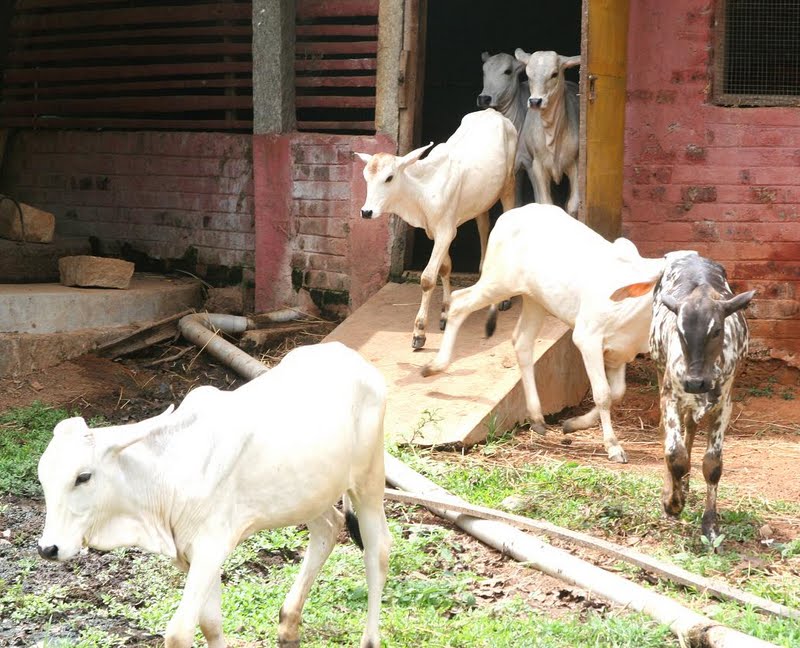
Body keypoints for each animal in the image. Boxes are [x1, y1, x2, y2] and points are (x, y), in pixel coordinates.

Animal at [36, 340, 392, 648]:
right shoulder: (189, 554)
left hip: (368, 480)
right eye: (44, 480)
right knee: (328, 529)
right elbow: (210, 624)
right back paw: (288, 626)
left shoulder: (212, 546)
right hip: (310, 494)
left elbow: (179, 632)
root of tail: (349, 356)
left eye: (82, 477)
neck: (166, 474)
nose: (47, 548)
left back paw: (369, 639)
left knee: (378, 550)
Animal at [356, 109, 520, 350]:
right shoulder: (434, 231)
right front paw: (444, 312)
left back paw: (504, 299)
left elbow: (427, 279)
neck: (422, 191)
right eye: (366, 177)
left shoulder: (445, 232)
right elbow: (444, 268)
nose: (366, 211)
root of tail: (492, 111)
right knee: (483, 225)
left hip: (508, 185)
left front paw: (419, 333)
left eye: (389, 177)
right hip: (481, 199)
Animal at [422, 205, 664, 464]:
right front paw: (613, 446)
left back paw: (537, 418)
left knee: (522, 342)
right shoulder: (587, 338)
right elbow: (603, 394)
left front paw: (573, 424)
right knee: (459, 301)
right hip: (498, 283)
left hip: (534, 300)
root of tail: (511, 215)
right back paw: (434, 365)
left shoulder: (620, 352)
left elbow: (617, 392)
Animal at [512, 48, 580, 215]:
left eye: (554, 74)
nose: (535, 101)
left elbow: (573, 204)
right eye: (528, 74)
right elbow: (546, 202)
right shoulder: (537, 165)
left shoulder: (575, 162)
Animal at [648, 251, 756, 544]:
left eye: (716, 330)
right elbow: (674, 454)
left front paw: (710, 524)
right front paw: (672, 502)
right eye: (680, 331)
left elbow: (712, 465)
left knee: (690, 427)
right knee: (671, 439)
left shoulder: (724, 404)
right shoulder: (671, 395)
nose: (695, 381)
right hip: (660, 370)